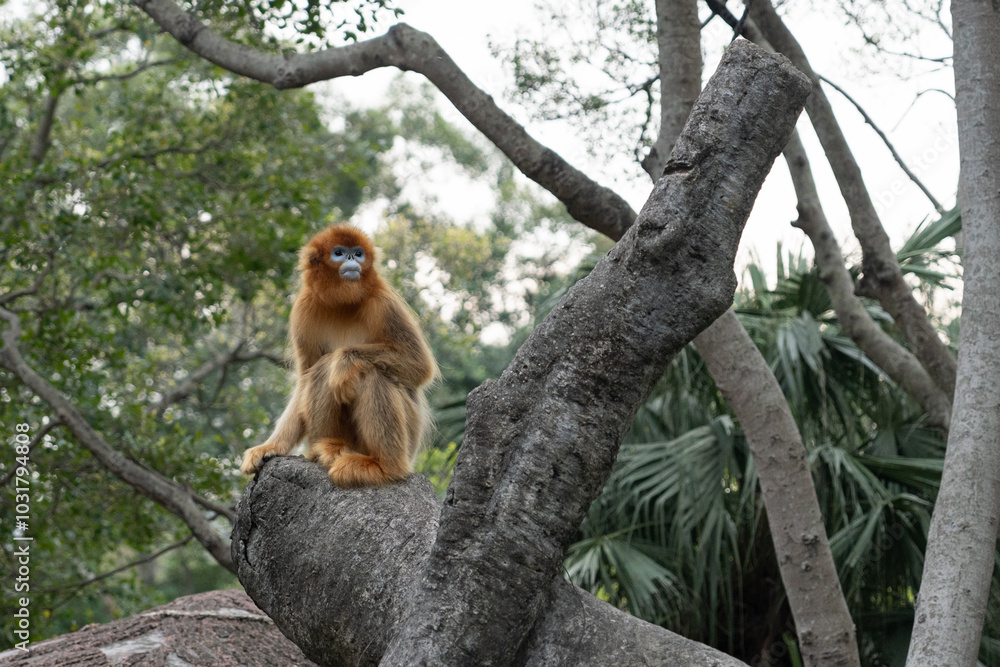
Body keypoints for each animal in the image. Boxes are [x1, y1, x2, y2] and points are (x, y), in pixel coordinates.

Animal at [240, 225, 438, 488]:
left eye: (358, 253)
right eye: (339, 252)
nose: (352, 258)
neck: (342, 303)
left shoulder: (383, 302)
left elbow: (420, 366)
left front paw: (345, 362)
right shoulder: (303, 308)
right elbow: (304, 378)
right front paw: (271, 446)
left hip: (410, 437)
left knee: (370, 373)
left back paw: (384, 467)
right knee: (321, 369)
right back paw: (329, 448)